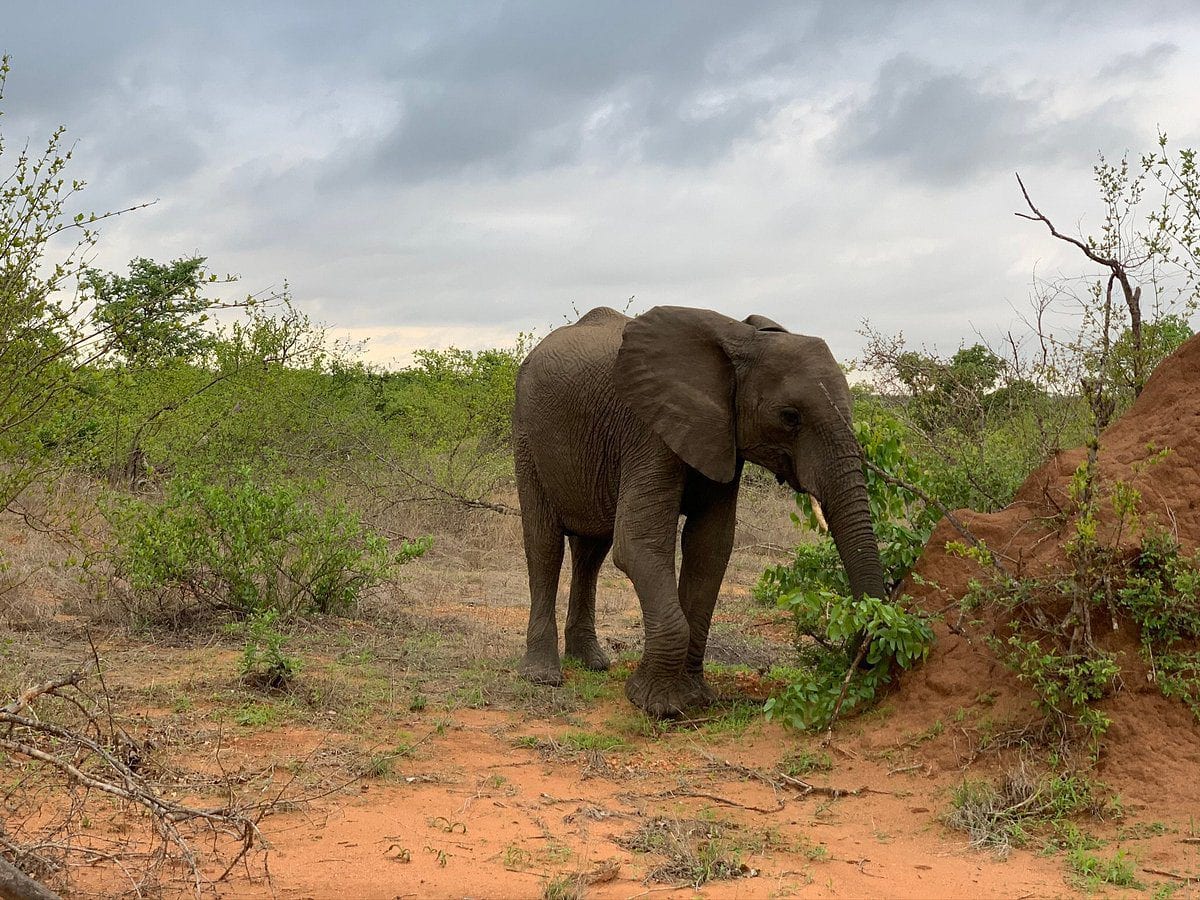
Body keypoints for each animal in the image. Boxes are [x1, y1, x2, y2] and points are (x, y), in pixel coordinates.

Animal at [513, 305, 885, 717]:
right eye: (790, 417)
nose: (862, 651)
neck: (742, 341)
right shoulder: (648, 429)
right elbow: (638, 543)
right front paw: (657, 704)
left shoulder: (722, 438)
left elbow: (710, 547)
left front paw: (695, 698)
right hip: (527, 434)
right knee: (545, 545)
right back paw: (543, 675)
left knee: (591, 552)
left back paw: (592, 663)